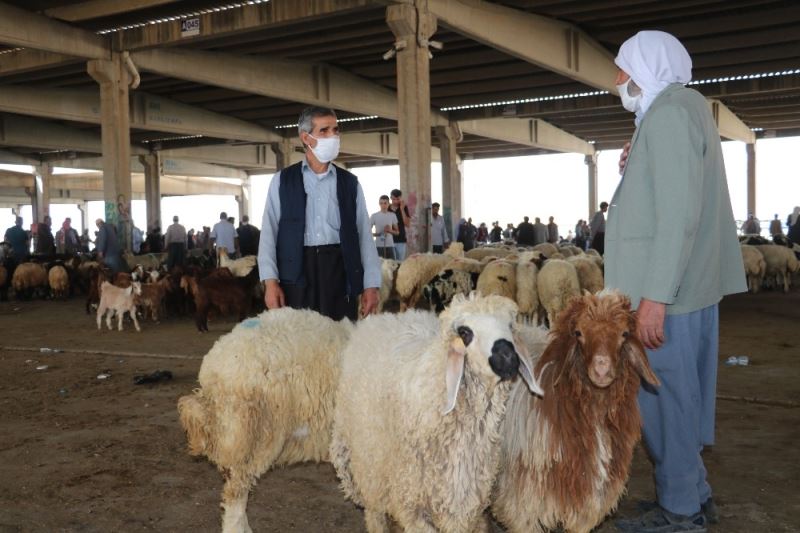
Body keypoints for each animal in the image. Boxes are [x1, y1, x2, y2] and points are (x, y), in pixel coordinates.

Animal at [328, 294, 540, 532]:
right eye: (465, 332)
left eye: (510, 326)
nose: (508, 356)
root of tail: (383, 317)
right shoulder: (412, 502)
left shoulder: (463, 502)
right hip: (368, 462)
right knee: (374, 511)